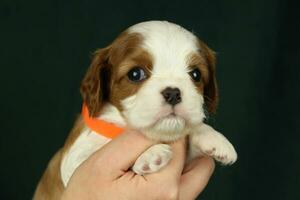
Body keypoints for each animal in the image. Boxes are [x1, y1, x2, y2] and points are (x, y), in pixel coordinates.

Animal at [34, 20, 238, 198]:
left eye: (195, 74)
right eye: (135, 74)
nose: (173, 93)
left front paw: (212, 137)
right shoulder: (76, 162)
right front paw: (151, 154)